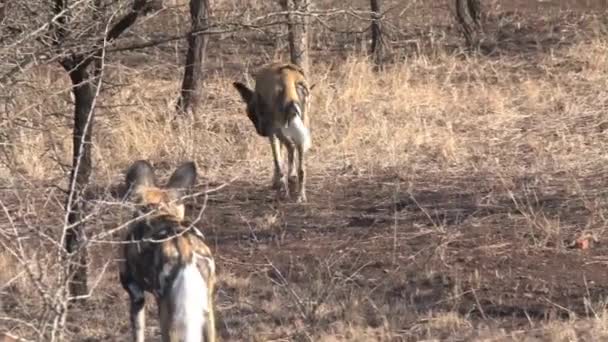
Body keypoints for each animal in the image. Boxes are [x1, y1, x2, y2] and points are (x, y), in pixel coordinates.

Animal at [117, 160, 215, 342]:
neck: (158, 208)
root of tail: (185, 250)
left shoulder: (136, 294)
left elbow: (138, 334)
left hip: (167, 313)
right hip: (207, 311)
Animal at [233, 61, 316, 202]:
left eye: (250, 115)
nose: (260, 132)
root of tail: (288, 76)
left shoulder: (272, 131)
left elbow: (277, 161)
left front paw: (279, 184)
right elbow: (280, 157)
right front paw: (277, 182)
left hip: (278, 129)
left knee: (291, 147)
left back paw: (287, 186)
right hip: (302, 122)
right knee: (301, 165)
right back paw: (300, 194)